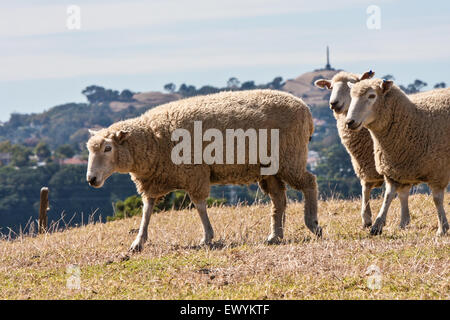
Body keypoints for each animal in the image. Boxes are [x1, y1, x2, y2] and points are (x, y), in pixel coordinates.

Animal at [86, 89, 322, 251]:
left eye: (108, 148)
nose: (91, 179)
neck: (153, 138)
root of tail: (306, 109)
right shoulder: (153, 180)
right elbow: (147, 209)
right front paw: (138, 242)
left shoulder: (195, 173)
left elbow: (199, 206)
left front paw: (207, 237)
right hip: (269, 168)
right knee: (279, 199)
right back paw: (275, 236)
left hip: (290, 157)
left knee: (309, 182)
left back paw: (313, 224)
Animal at [346, 79, 448, 235]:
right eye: (351, 96)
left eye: (372, 96)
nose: (349, 122)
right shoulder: (395, 169)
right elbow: (391, 196)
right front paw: (380, 225)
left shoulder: (438, 171)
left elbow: (437, 199)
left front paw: (442, 228)